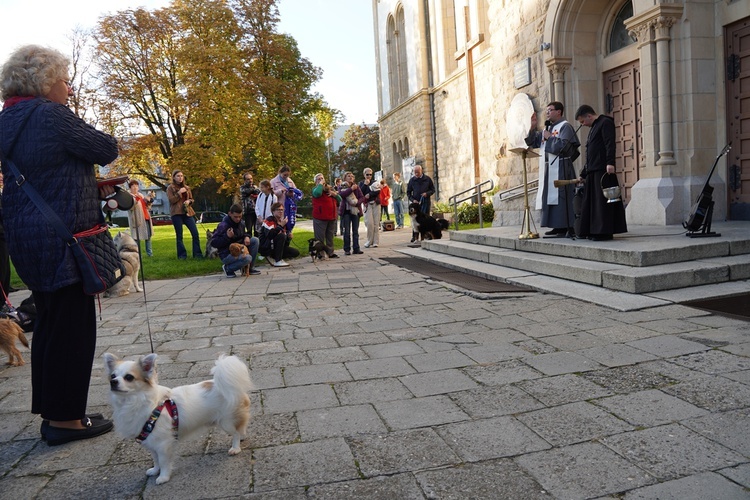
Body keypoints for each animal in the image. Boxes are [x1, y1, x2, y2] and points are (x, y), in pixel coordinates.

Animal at [104, 352, 254, 484]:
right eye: (112, 376)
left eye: (129, 377)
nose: (113, 382)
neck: (132, 402)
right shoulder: (151, 443)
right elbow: (155, 459)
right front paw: (155, 471)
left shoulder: (163, 444)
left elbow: (163, 462)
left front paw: (163, 477)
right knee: (241, 428)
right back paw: (242, 437)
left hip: (226, 422)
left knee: (235, 432)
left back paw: (235, 448)